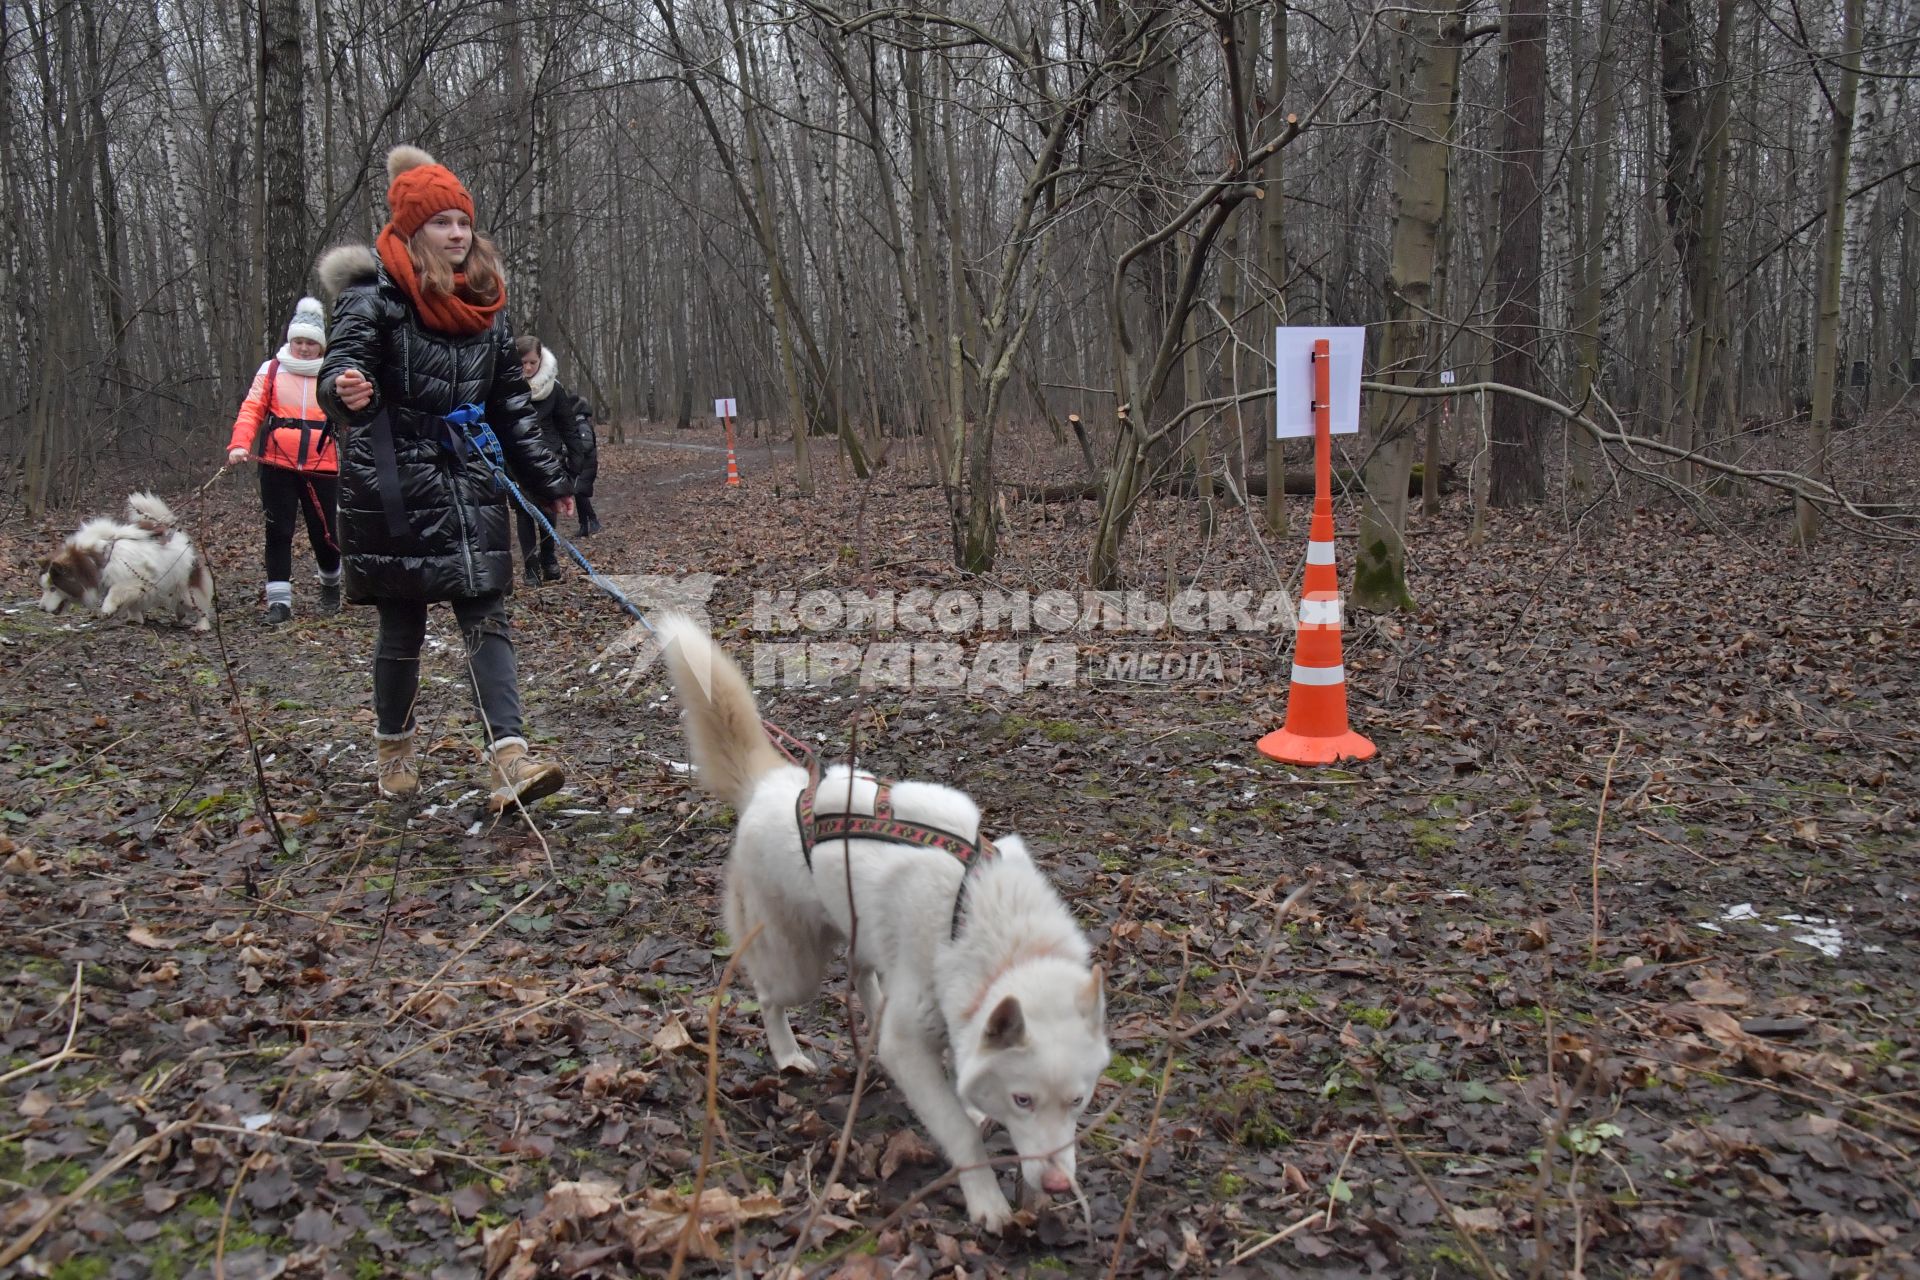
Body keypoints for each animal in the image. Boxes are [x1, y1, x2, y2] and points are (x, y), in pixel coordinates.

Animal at [660, 617, 1113, 1228]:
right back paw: (787, 1054)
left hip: (863, 935)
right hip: (797, 966)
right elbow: (957, 1131)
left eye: (1078, 1100)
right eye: (1023, 1100)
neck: (986, 927)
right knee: (770, 995)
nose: (1061, 1184)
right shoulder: (911, 1043)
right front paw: (987, 1201)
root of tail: (774, 784)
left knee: (864, 979)